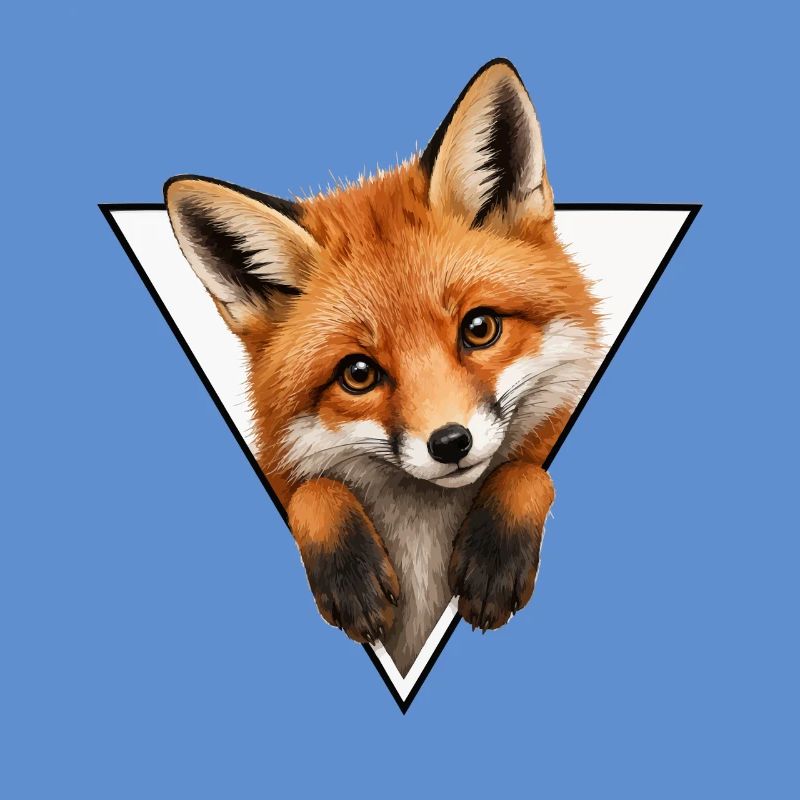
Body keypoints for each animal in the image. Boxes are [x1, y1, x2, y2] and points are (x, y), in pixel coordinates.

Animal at [164, 59, 602, 675]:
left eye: (479, 328)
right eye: (358, 373)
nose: (450, 443)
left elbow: (528, 471)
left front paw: (494, 552)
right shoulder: (283, 471)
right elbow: (311, 492)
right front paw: (350, 571)